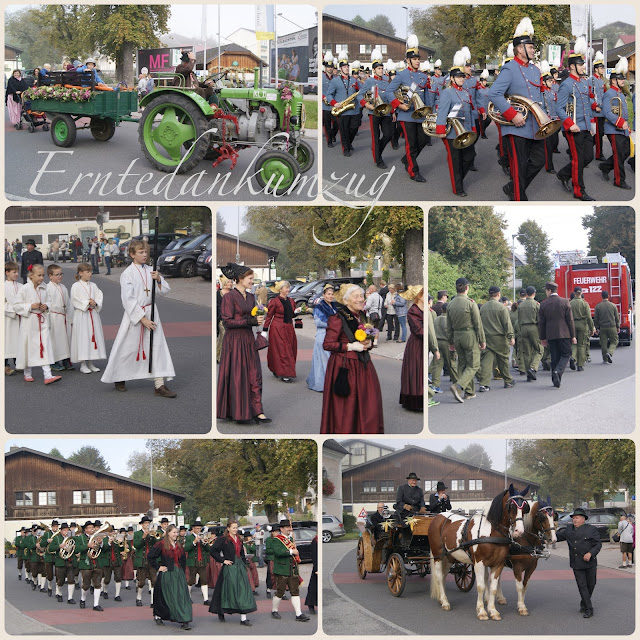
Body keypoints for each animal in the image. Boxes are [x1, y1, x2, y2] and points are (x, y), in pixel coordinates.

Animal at [428, 484, 528, 620]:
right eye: (511, 506)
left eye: (525, 507)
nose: (519, 531)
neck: (491, 532)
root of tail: (438, 517)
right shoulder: (479, 563)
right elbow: (481, 586)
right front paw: (482, 611)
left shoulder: (498, 564)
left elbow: (493, 587)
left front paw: (493, 611)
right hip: (438, 555)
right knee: (439, 576)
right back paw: (445, 602)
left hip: (450, 556)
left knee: (443, 575)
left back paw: (442, 599)